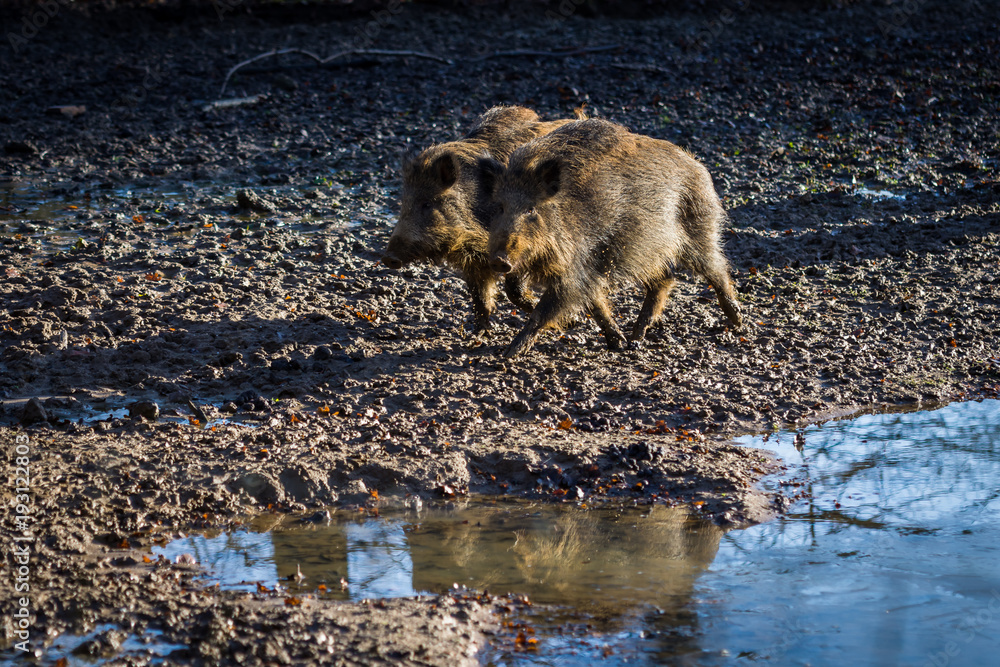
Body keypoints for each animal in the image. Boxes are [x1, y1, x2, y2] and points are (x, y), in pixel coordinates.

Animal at [381, 106, 575, 333]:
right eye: (403, 203)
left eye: (427, 204)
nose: (388, 257)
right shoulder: (474, 260)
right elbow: (479, 295)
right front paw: (479, 333)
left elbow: (513, 288)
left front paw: (564, 321)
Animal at [484, 118, 743, 358]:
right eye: (500, 207)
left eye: (531, 209)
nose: (499, 260)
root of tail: (697, 164)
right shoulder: (579, 269)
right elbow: (517, 290)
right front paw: (613, 340)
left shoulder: (577, 267)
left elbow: (546, 309)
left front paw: (509, 353)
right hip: (649, 251)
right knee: (665, 280)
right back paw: (635, 339)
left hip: (698, 231)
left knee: (717, 268)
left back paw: (737, 322)